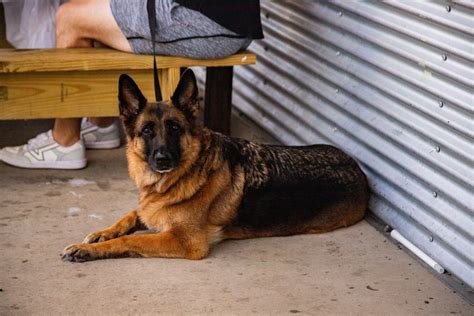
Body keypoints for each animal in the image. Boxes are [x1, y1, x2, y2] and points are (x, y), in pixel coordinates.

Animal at [61, 70, 368, 262]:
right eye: (147, 130)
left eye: (174, 128)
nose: (162, 159)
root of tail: (358, 169)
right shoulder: (151, 209)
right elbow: (130, 216)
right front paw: (101, 234)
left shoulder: (186, 241)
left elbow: (131, 240)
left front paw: (90, 249)